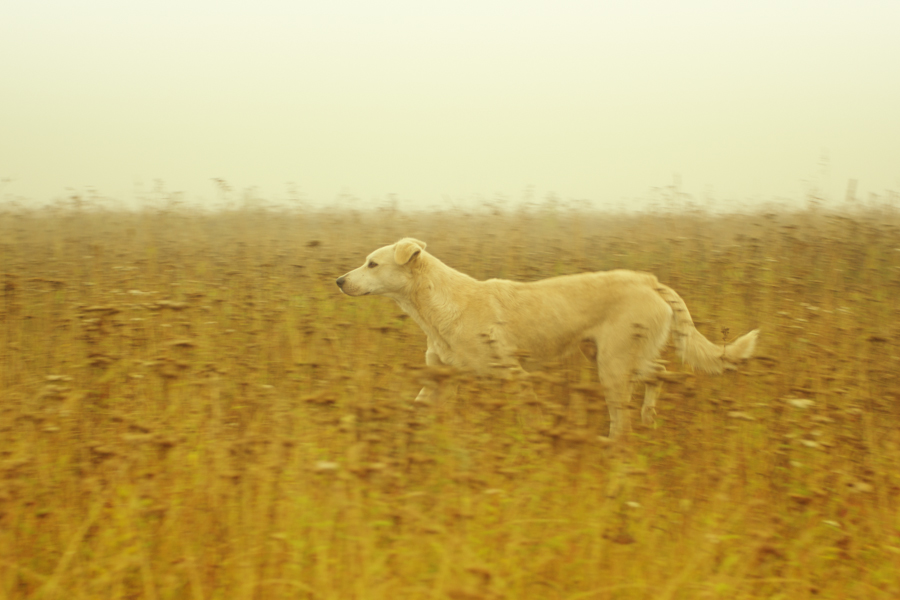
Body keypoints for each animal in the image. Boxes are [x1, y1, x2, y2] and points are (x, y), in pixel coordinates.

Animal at [338, 237, 760, 438]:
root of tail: (648, 279)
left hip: (613, 365)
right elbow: (417, 408)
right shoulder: (441, 379)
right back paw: (649, 418)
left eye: (372, 264)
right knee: (659, 374)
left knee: (625, 415)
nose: (339, 281)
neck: (436, 306)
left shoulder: (514, 374)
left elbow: (531, 415)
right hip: (611, 356)